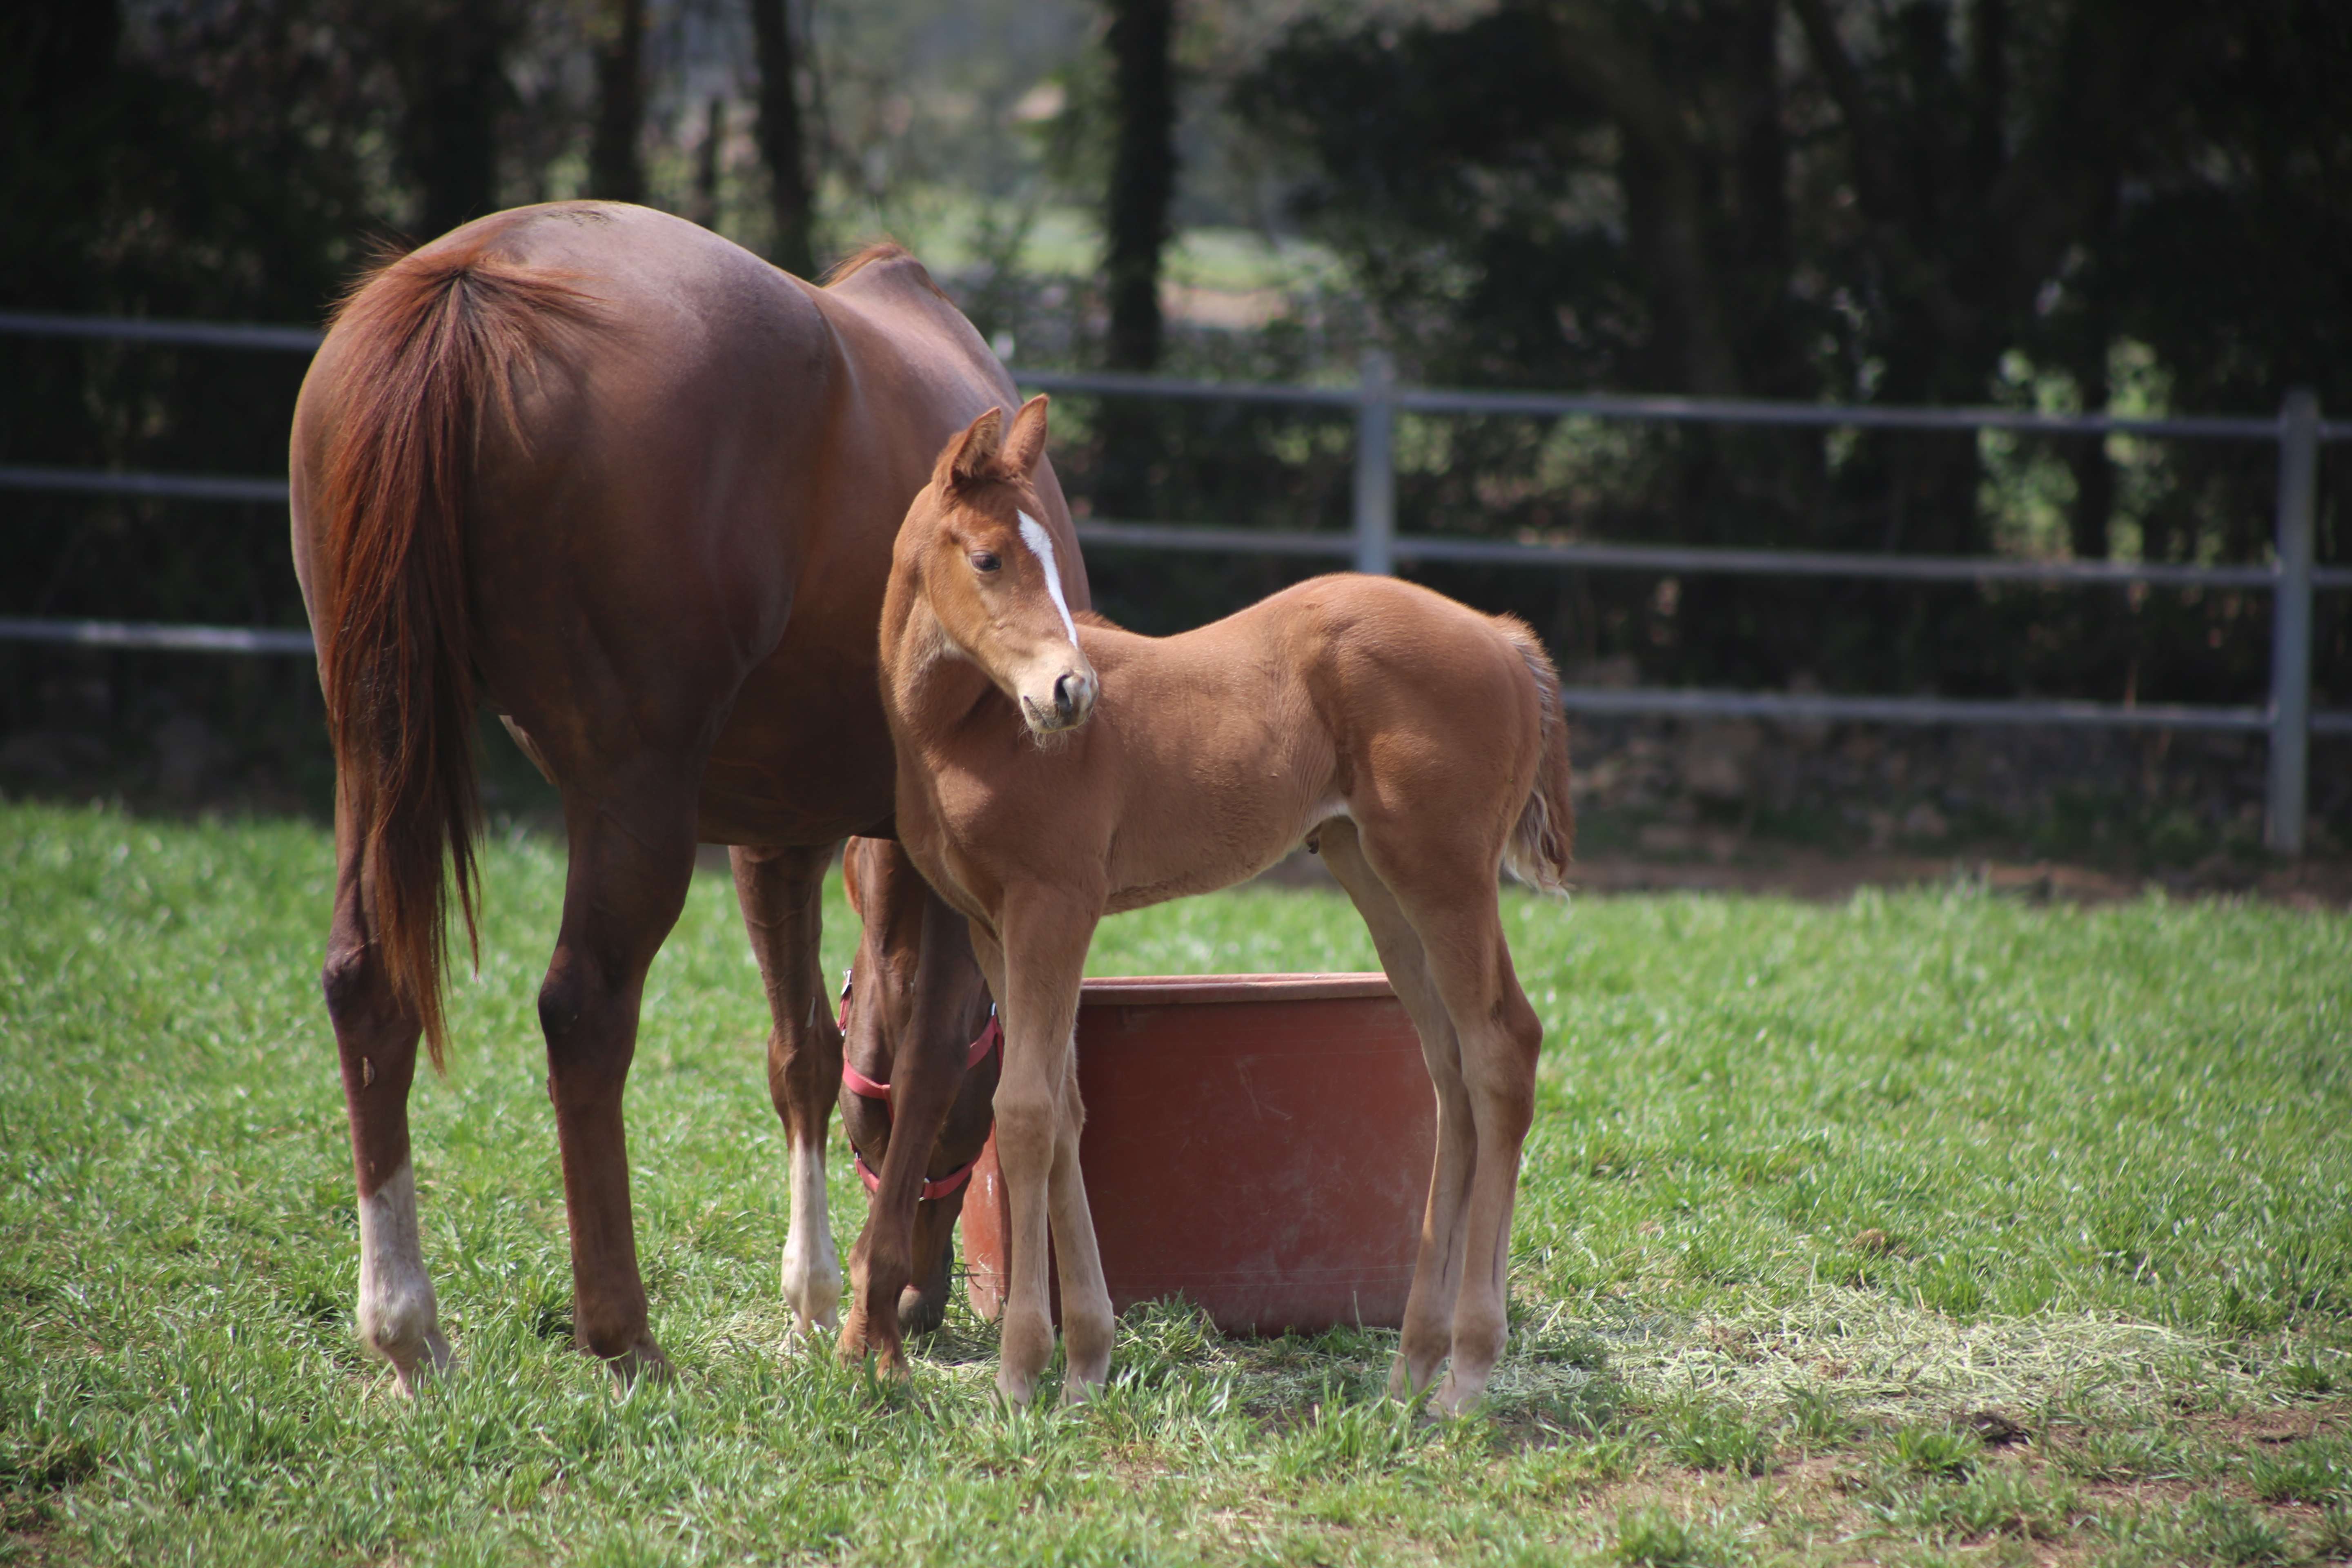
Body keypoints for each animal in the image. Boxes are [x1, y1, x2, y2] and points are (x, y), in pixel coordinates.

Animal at [289, 202, 1087, 1392]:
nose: (930, 1300)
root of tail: (476, 278)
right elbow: (929, 1053)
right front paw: (869, 1323)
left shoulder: (776, 840)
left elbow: (804, 1054)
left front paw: (816, 1301)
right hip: (633, 795)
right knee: (584, 1011)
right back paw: (622, 1333)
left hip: (375, 746)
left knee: (368, 984)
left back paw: (407, 1327)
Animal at [875, 399, 1571, 1420]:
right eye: (990, 558)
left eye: (1046, 561)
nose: (1071, 693)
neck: (967, 727)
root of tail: (1502, 637)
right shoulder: (991, 923)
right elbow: (1069, 1106)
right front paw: (1086, 1364)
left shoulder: (1055, 907)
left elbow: (1029, 1109)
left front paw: (1021, 1370)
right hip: (1374, 873)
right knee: (1450, 1071)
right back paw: (1412, 1363)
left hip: (1444, 873)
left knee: (1501, 1050)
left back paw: (1468, 1372)